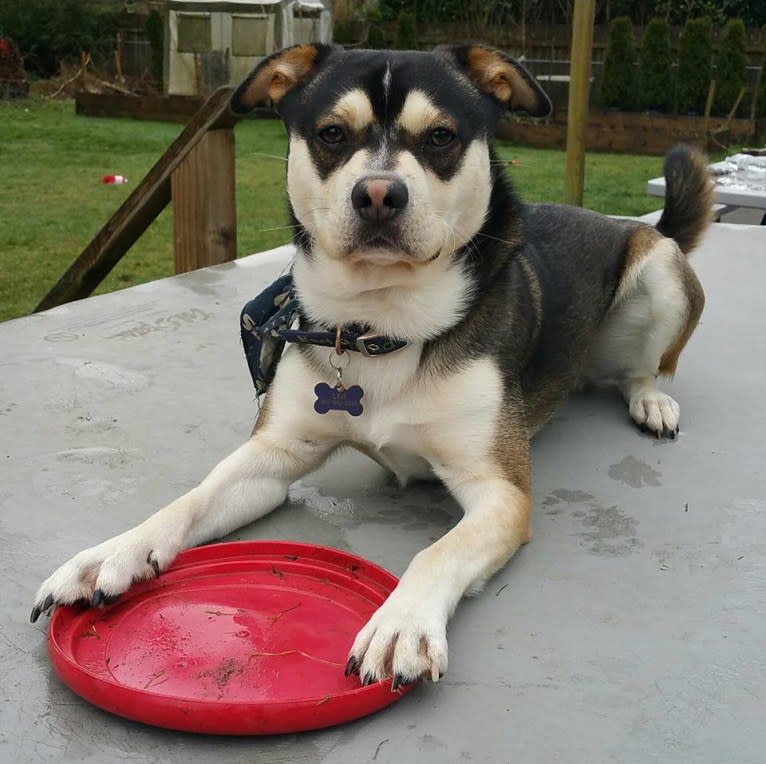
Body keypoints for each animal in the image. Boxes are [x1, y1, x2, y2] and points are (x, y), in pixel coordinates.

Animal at [30, 44, 712, 692]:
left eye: (440, 136)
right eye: (333, 133)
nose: (379, 193)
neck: (382, 325)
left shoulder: (500, 491)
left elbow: (436, 552)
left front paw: (401, 623)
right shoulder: (275, 455)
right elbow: (191, 500)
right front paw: (115, 551)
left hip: (662, 269)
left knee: (642, 367)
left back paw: (651, 401)